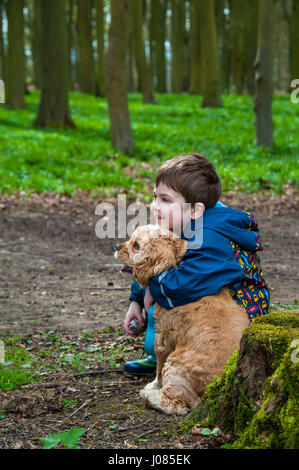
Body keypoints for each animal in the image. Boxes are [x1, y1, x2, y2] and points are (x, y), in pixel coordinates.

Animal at [116, 227, 250, 414]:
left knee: (176, 404)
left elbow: (158, 368)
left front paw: (153, 385)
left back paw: (148, 396)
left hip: (176, 365)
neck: (174, 265)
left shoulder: (162, 338)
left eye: (136, 246)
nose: (116, 246)